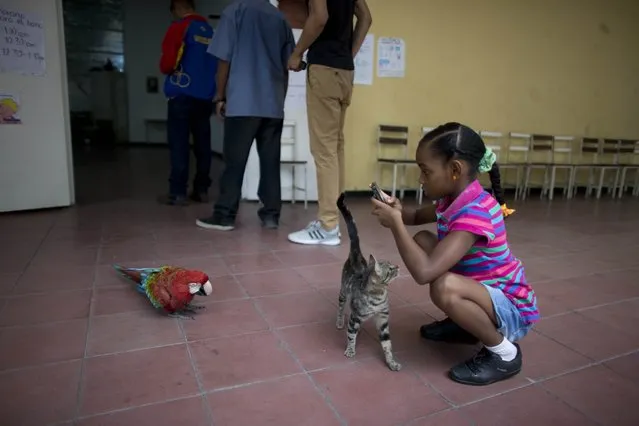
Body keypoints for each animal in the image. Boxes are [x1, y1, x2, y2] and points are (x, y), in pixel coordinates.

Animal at [338, 191, 402, 372]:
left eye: (393, 264)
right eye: (390, 269)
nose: (398, 266)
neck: (379, 295)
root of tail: (356, 256)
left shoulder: (383, 319)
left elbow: (387, 344)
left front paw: (391, 362)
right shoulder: (356, 316)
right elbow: (350, 335)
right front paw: (350, 350)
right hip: (343, 292)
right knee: (341, 308)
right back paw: (340, 322)